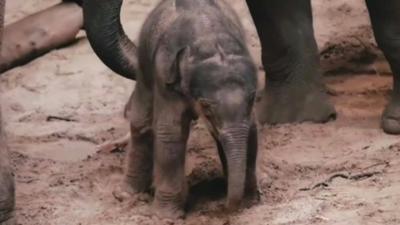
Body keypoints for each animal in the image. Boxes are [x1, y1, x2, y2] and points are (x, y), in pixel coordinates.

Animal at [85, 0, 260, 219]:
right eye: (206, 108)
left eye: (252, 98)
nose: (222, 208)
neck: (211, 42)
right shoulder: (165, 78)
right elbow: (171, 131)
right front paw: (166, 217)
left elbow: (251, 130)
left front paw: (250, 203)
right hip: (145, 67)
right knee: (141, 122)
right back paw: (125, 195)